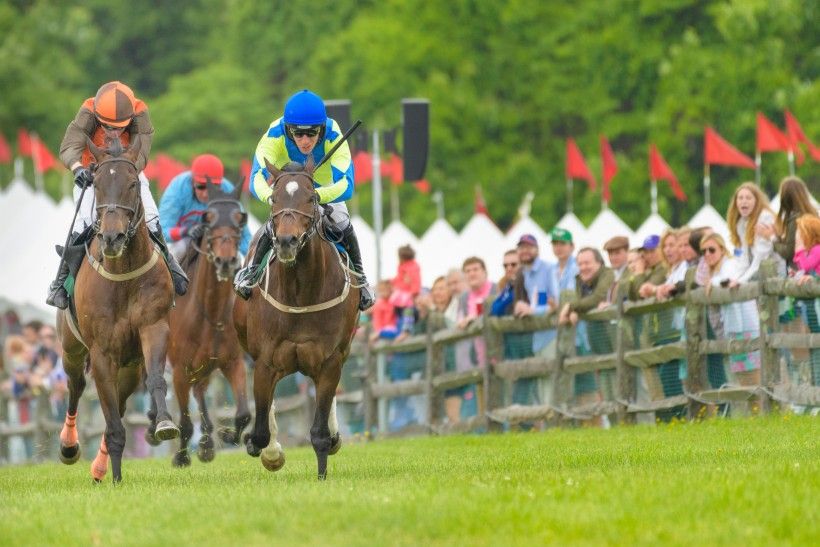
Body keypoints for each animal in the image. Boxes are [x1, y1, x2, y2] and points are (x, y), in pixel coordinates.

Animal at [57, 137, 179, 484]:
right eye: (96, 183)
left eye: (133, 183)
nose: (112, 237)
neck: (123, 273)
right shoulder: (101, 352)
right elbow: (110, 420)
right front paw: (116, 478)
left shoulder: (153, 327)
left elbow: (155, 379)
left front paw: (164, 423)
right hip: (71, 348)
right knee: (75, 386)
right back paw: (69, 447)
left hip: (129, 365)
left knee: (122, 402)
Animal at [167, 183, 250, 466]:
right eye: (208, 218)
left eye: (240, 218)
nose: (226, 261)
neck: (210, 314)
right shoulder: (180, 370)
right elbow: (184, 422)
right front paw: (181, 458)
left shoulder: (232, 362)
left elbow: (244, 414)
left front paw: (227, 436)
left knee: (201, 392)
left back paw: (207, 443)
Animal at [231, 157, 358, 480]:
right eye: (274, 199)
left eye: (311, 198)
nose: (287, 241)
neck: (301, 293)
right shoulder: (266, 361)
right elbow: (261, 431)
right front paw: (267, 451)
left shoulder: (329, 361)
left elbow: (320, 432)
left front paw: (322, 473)